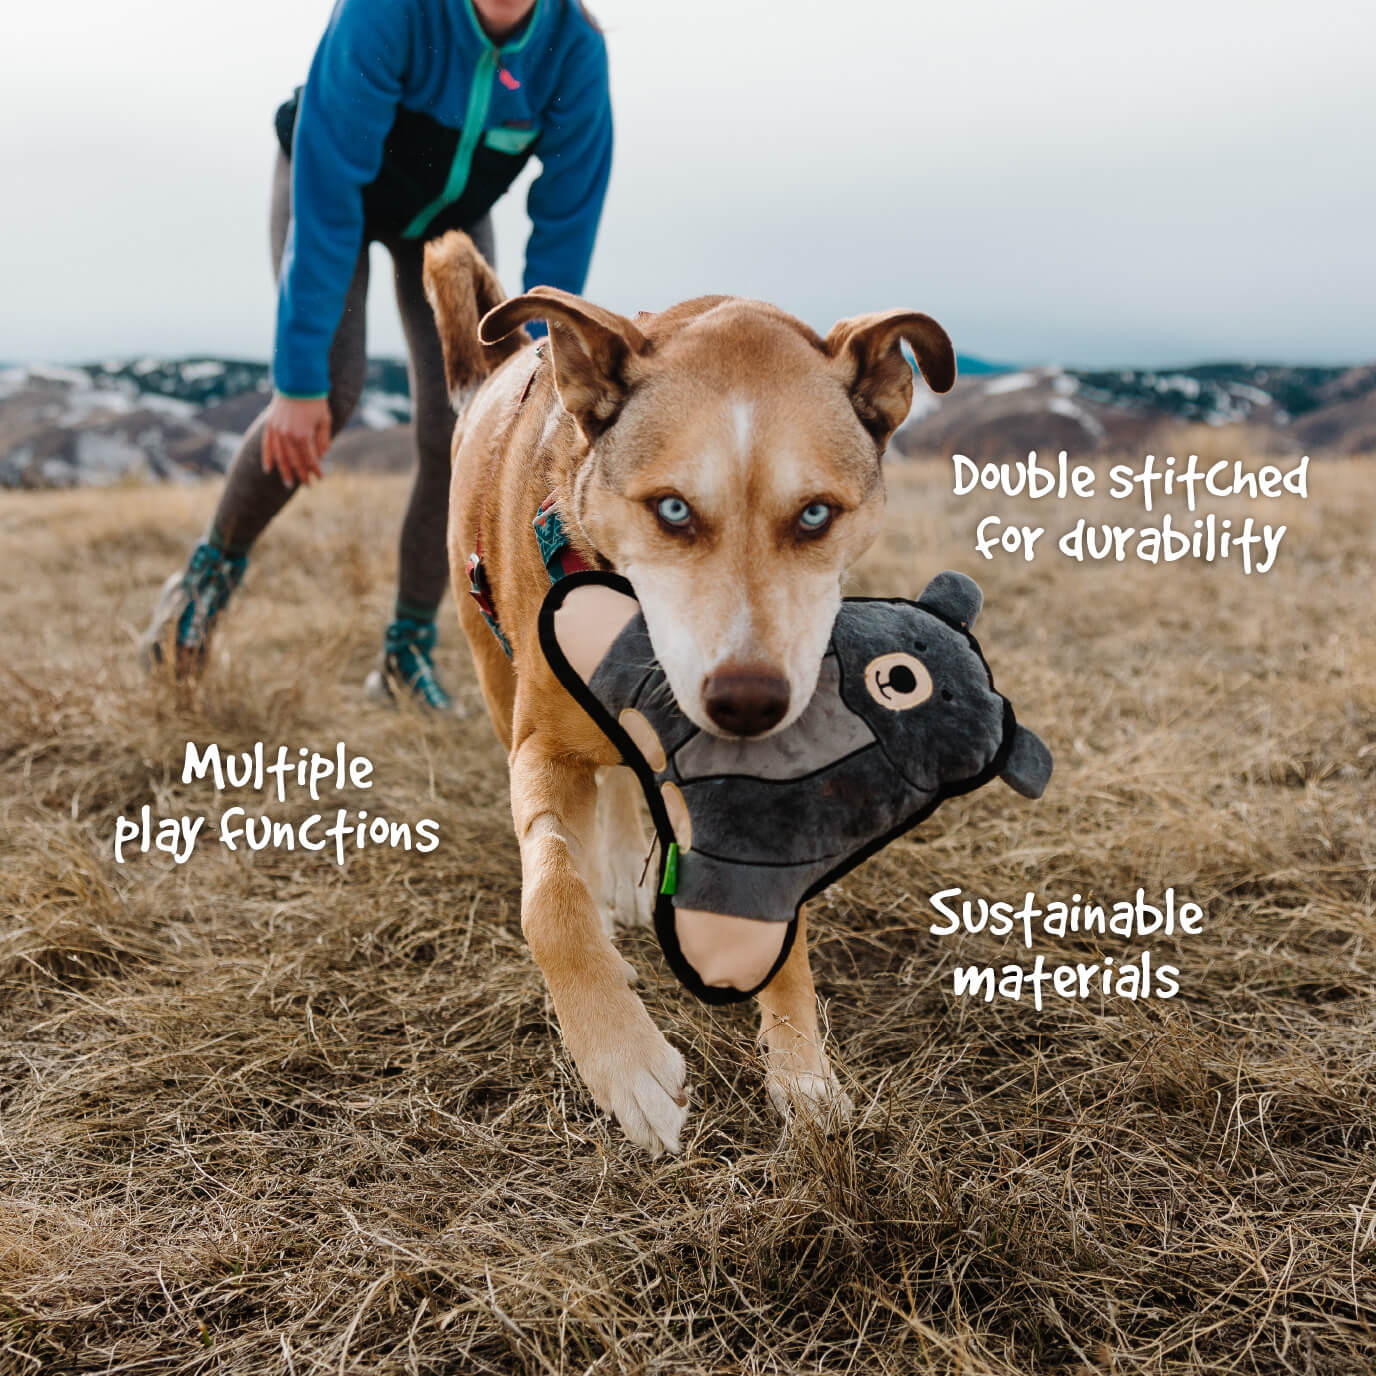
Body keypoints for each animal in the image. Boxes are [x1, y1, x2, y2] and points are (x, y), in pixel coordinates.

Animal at [423, 231, 952, 1155]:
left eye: (816, 514)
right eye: (671, 509)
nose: (750, 703)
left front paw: (801, 1073)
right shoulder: (542, 748)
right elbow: (551, 898)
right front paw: (625, 1063)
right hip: (492, 671)